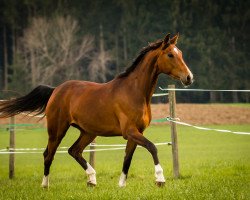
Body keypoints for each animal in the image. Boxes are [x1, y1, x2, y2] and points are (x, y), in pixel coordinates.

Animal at [0, 32, 193, 188]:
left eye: (181, 54)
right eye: (170, 54)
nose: (189, 77)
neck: (134, 91)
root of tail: (56, 90)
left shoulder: (136, 132)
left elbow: (127, 158)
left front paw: (121, 185)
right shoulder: (130, 131)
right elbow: (152, 147)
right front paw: (160, 179)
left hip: (88, 132)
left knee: (74, 151)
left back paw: (92, 180)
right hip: (57, 130)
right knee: (48, 154)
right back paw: (45, 185)